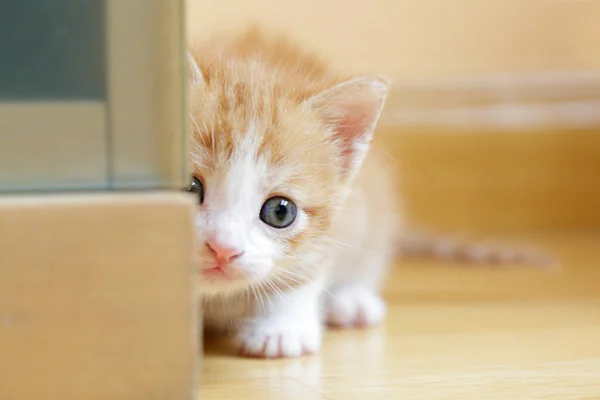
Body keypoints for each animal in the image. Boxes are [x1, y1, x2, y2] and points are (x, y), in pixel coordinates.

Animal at [186, 28, 552, 360]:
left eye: (280, 212)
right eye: (190, 189)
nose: (223, 249)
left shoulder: (344, 220)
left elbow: (308, 272)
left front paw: (281, 327)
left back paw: (352, 300)